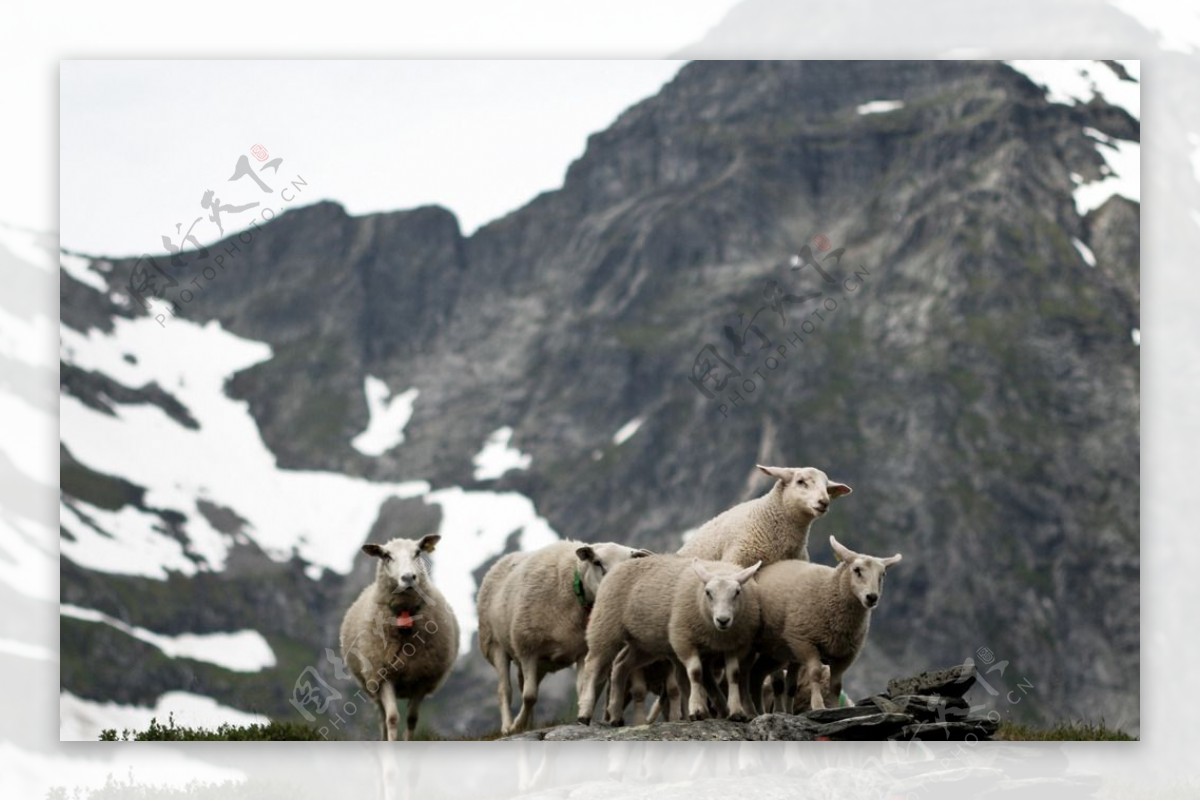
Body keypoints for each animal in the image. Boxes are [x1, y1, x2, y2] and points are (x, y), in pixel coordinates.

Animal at [345, 534, 465, 743]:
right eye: (386, 556)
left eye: (417, 552)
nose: (409, 577)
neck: (405, 615)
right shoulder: (383, 674)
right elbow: (392, 718)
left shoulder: (422, 678)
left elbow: (411, 719)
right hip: (372, 684)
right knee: (382, 718)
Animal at [472, 537, 652, 733]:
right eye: (597, 562)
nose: (615, 586)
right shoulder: (527, 646)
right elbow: (529, 695)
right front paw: (517, 725)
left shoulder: (582, 651)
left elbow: (581, 687)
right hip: (494, 645)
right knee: (505, 690)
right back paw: (508, 726)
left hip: (538, 663)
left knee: (521, 684)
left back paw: (528, 725)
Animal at [576, 556, 763, 724]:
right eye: (708, 593)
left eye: (737, 592)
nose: (723, 620)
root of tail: (618, 567)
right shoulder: (684, 639)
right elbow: (695, 673)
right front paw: (697, 711)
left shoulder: (735, 644)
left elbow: (734, 675)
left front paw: (736, 712)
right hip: (605, 625)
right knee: (592, 665)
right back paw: (584, 713)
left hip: (644, 644)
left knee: (621, 665)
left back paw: (615, 714)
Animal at [748, 534, 902, 709]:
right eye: (857, 570)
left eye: (883, 575)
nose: (872, 597)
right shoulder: (804, 641)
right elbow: (815, 673)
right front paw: (818, 705)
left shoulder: (846, 654)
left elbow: (836, 685)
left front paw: (834, 707)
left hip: (777, 651)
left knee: (757, 674)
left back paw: (759, 709)